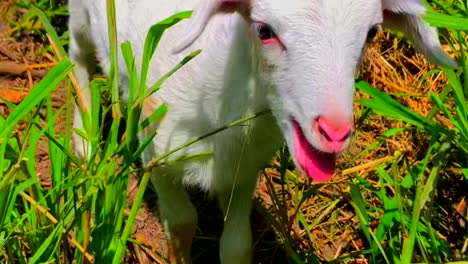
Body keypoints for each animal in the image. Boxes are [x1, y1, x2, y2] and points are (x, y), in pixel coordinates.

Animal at [68, 0, 458, 262]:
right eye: (265, 31)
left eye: (372, 32)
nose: (334, 131)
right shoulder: (156, 154)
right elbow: (181, 223)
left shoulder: (245, 169)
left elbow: (236, 244)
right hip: (83, 17)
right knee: (77, 56)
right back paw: (83, 139)